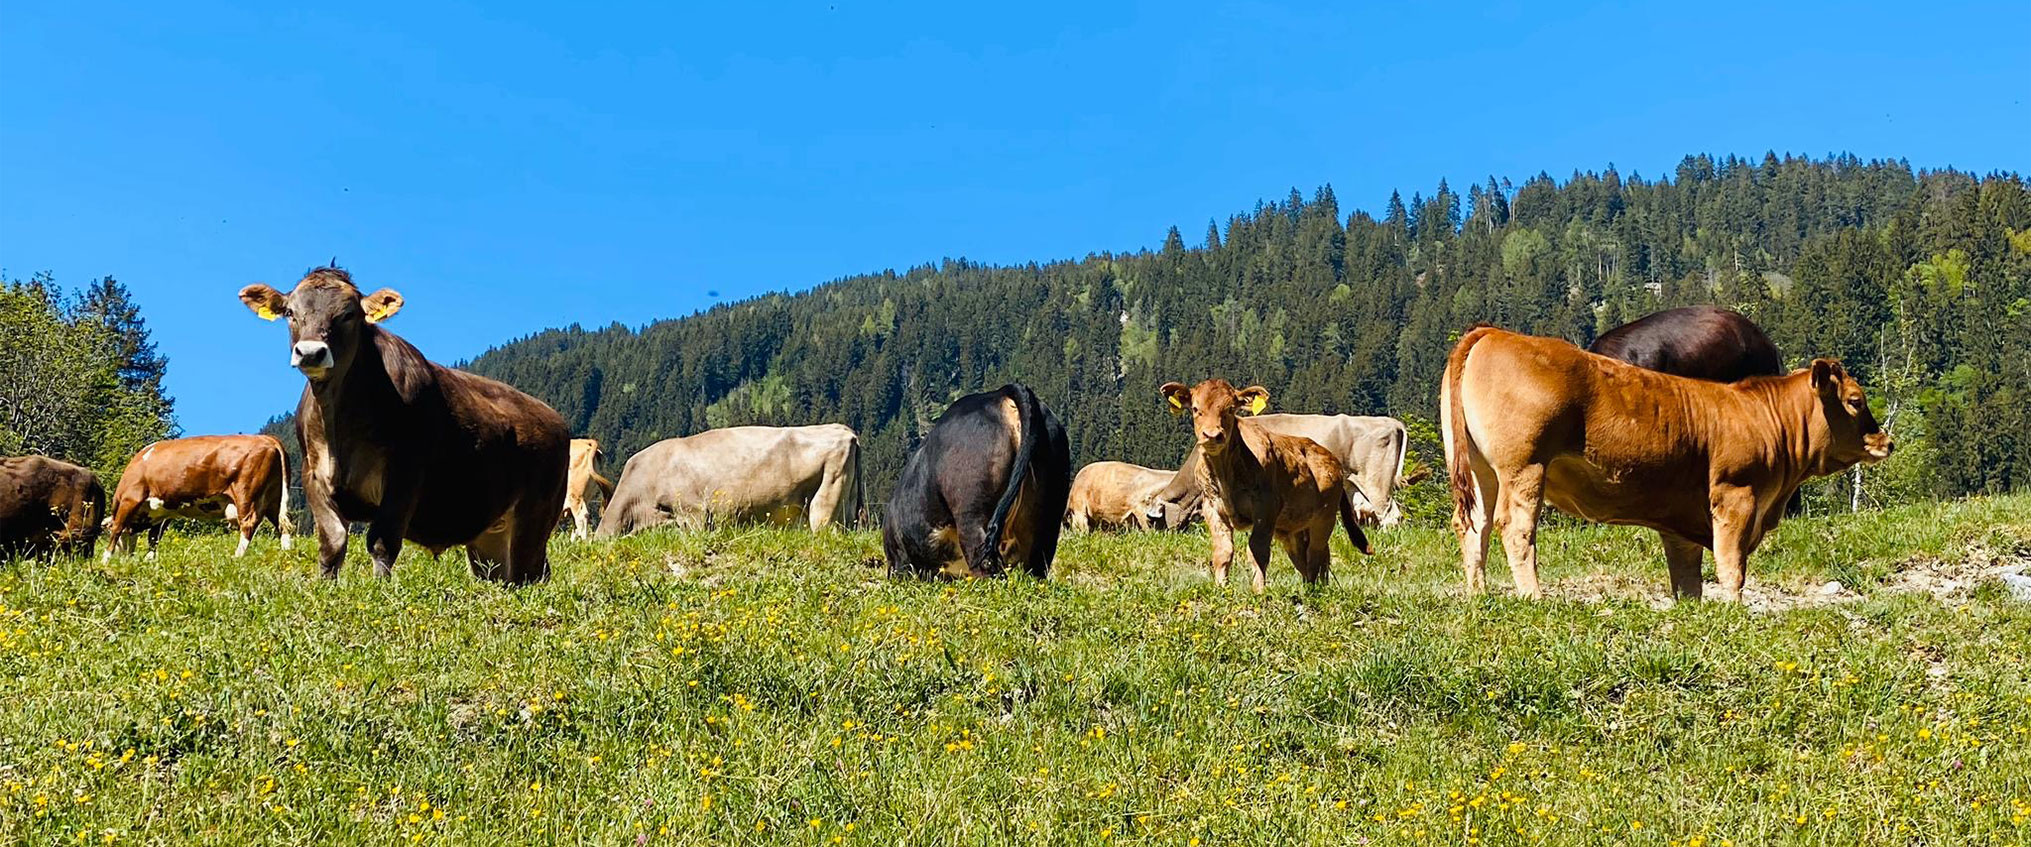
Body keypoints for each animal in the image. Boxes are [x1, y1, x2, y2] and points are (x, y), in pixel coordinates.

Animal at [103, 435, 292, 560]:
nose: (125, 558)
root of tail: (268, 439)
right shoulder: (163, 513)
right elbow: (153, 538)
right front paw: (149, 560)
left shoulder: (131, 498)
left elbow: (117, 528)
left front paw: (106, 558)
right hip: (273, 498)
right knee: (283, 525)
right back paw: (286, 554)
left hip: (246, 493)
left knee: (248, 524)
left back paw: (237, 556)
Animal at [238, 266, 570, 584]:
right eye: (290, 313)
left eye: (348, 314)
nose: (310, 352)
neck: (339, 429)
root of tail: (554, 418)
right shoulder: (313, 473)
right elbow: (332, 542)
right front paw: (324, 586)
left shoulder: (405, 474)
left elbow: (381, 541)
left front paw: (380, 587)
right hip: (490, 533)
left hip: (534, 518)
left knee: (529, 572)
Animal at [1159, 380, 1374, 593]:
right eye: (1196, 409)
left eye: (1230, 409)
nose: (1212, 435)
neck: (1225, 474)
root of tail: (1331, 459)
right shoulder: (1212, 507)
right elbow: (1223, 552)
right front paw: (1221, 588)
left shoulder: (1266, 507)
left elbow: (1257, 550)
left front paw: (1259, 591)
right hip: (1293, 528)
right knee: (1307, 556)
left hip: (1324, 519)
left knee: (1317, 553)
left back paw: (1314, 591)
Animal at [1441, 326, 1891, 602]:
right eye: (1855, 400)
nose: (1885, 441)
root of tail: (1494, 332)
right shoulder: (1735, 496)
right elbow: (1732, 565)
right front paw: (1734, 609)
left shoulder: (1681, 519)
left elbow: (1688, 576)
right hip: (1524, 467)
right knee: (1515, 528)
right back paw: (1534, 597)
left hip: (1480, 470)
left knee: (1474, 525)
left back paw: (1479, 595)